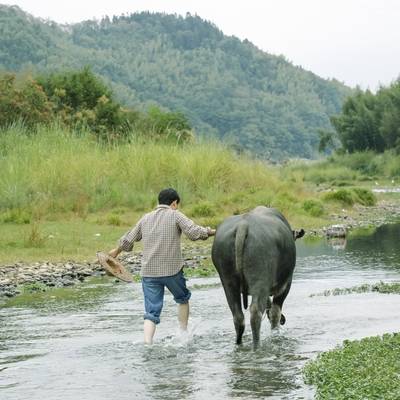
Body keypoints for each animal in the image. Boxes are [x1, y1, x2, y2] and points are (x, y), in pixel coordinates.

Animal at [211, 206, 298, 346]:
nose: (284, 320)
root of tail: (243, 225)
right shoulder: (285, 285)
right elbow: (275, 312)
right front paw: (275, 332)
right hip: (260, 279)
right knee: (256, 313)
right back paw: (257, 345)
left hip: (228, 280)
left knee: (238, 316)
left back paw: (239, 343)